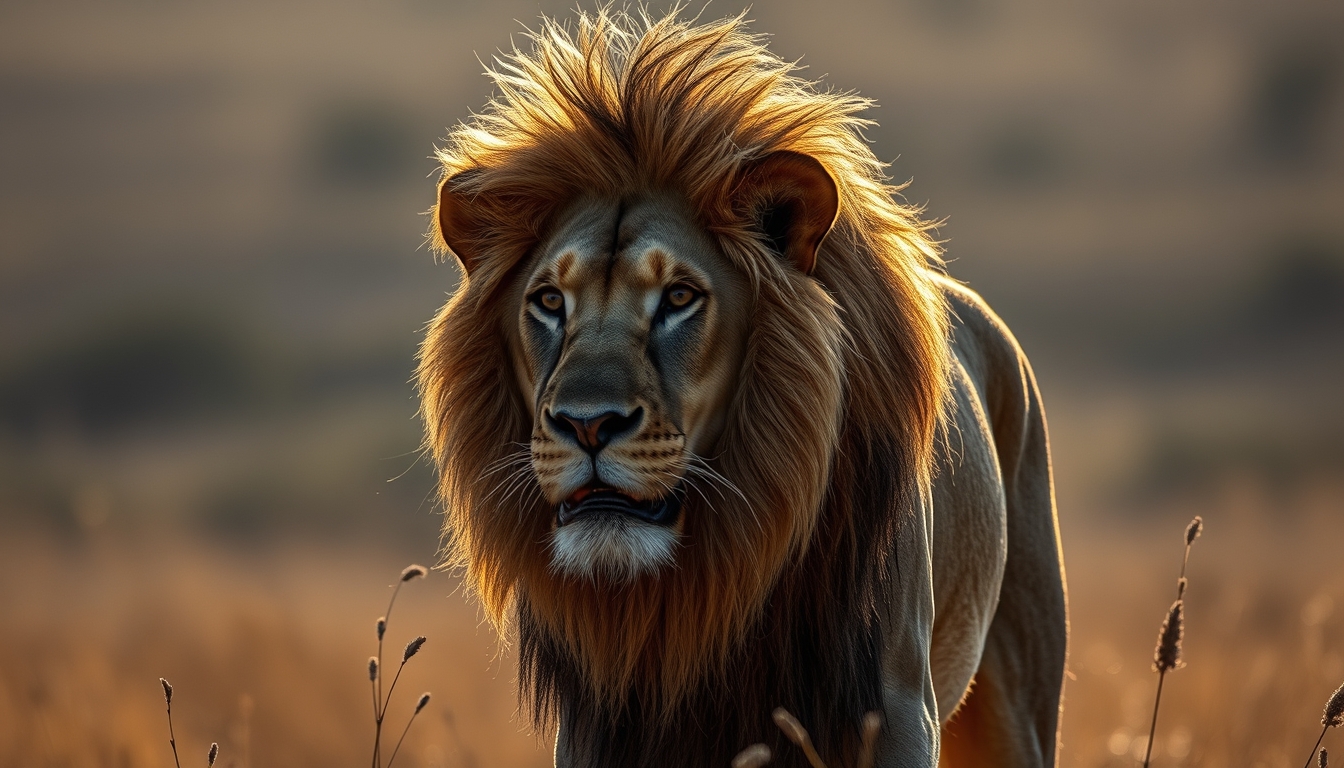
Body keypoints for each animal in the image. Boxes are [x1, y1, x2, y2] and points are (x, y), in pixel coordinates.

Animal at [417, 9, 1067, 768]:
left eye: (679, 297)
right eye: (549, 301)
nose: (587, 425)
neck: (712, 579)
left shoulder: (897, 706)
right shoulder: (601, 727)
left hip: (1016, 698)